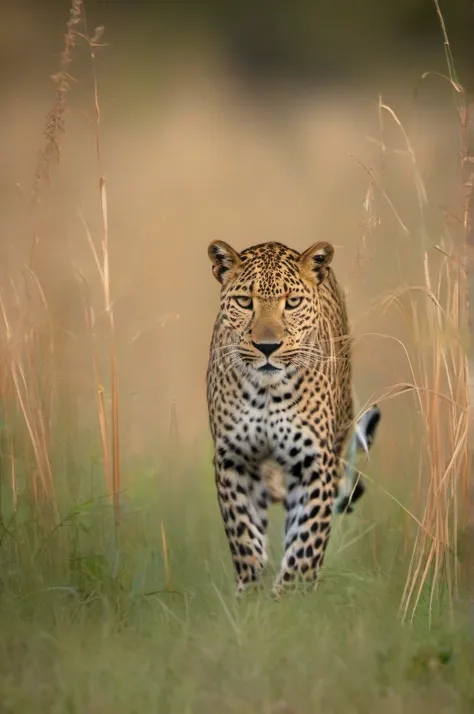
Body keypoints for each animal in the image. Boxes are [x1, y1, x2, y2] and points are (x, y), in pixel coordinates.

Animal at [207, 239, 382, 596]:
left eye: (293, 303)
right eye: (245, 302)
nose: (267, 347)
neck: (266, 392)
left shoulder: (314, 463)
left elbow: (305, 543)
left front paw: (290, 597)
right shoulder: (233, 459)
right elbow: (243, 535)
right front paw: (251, 594)